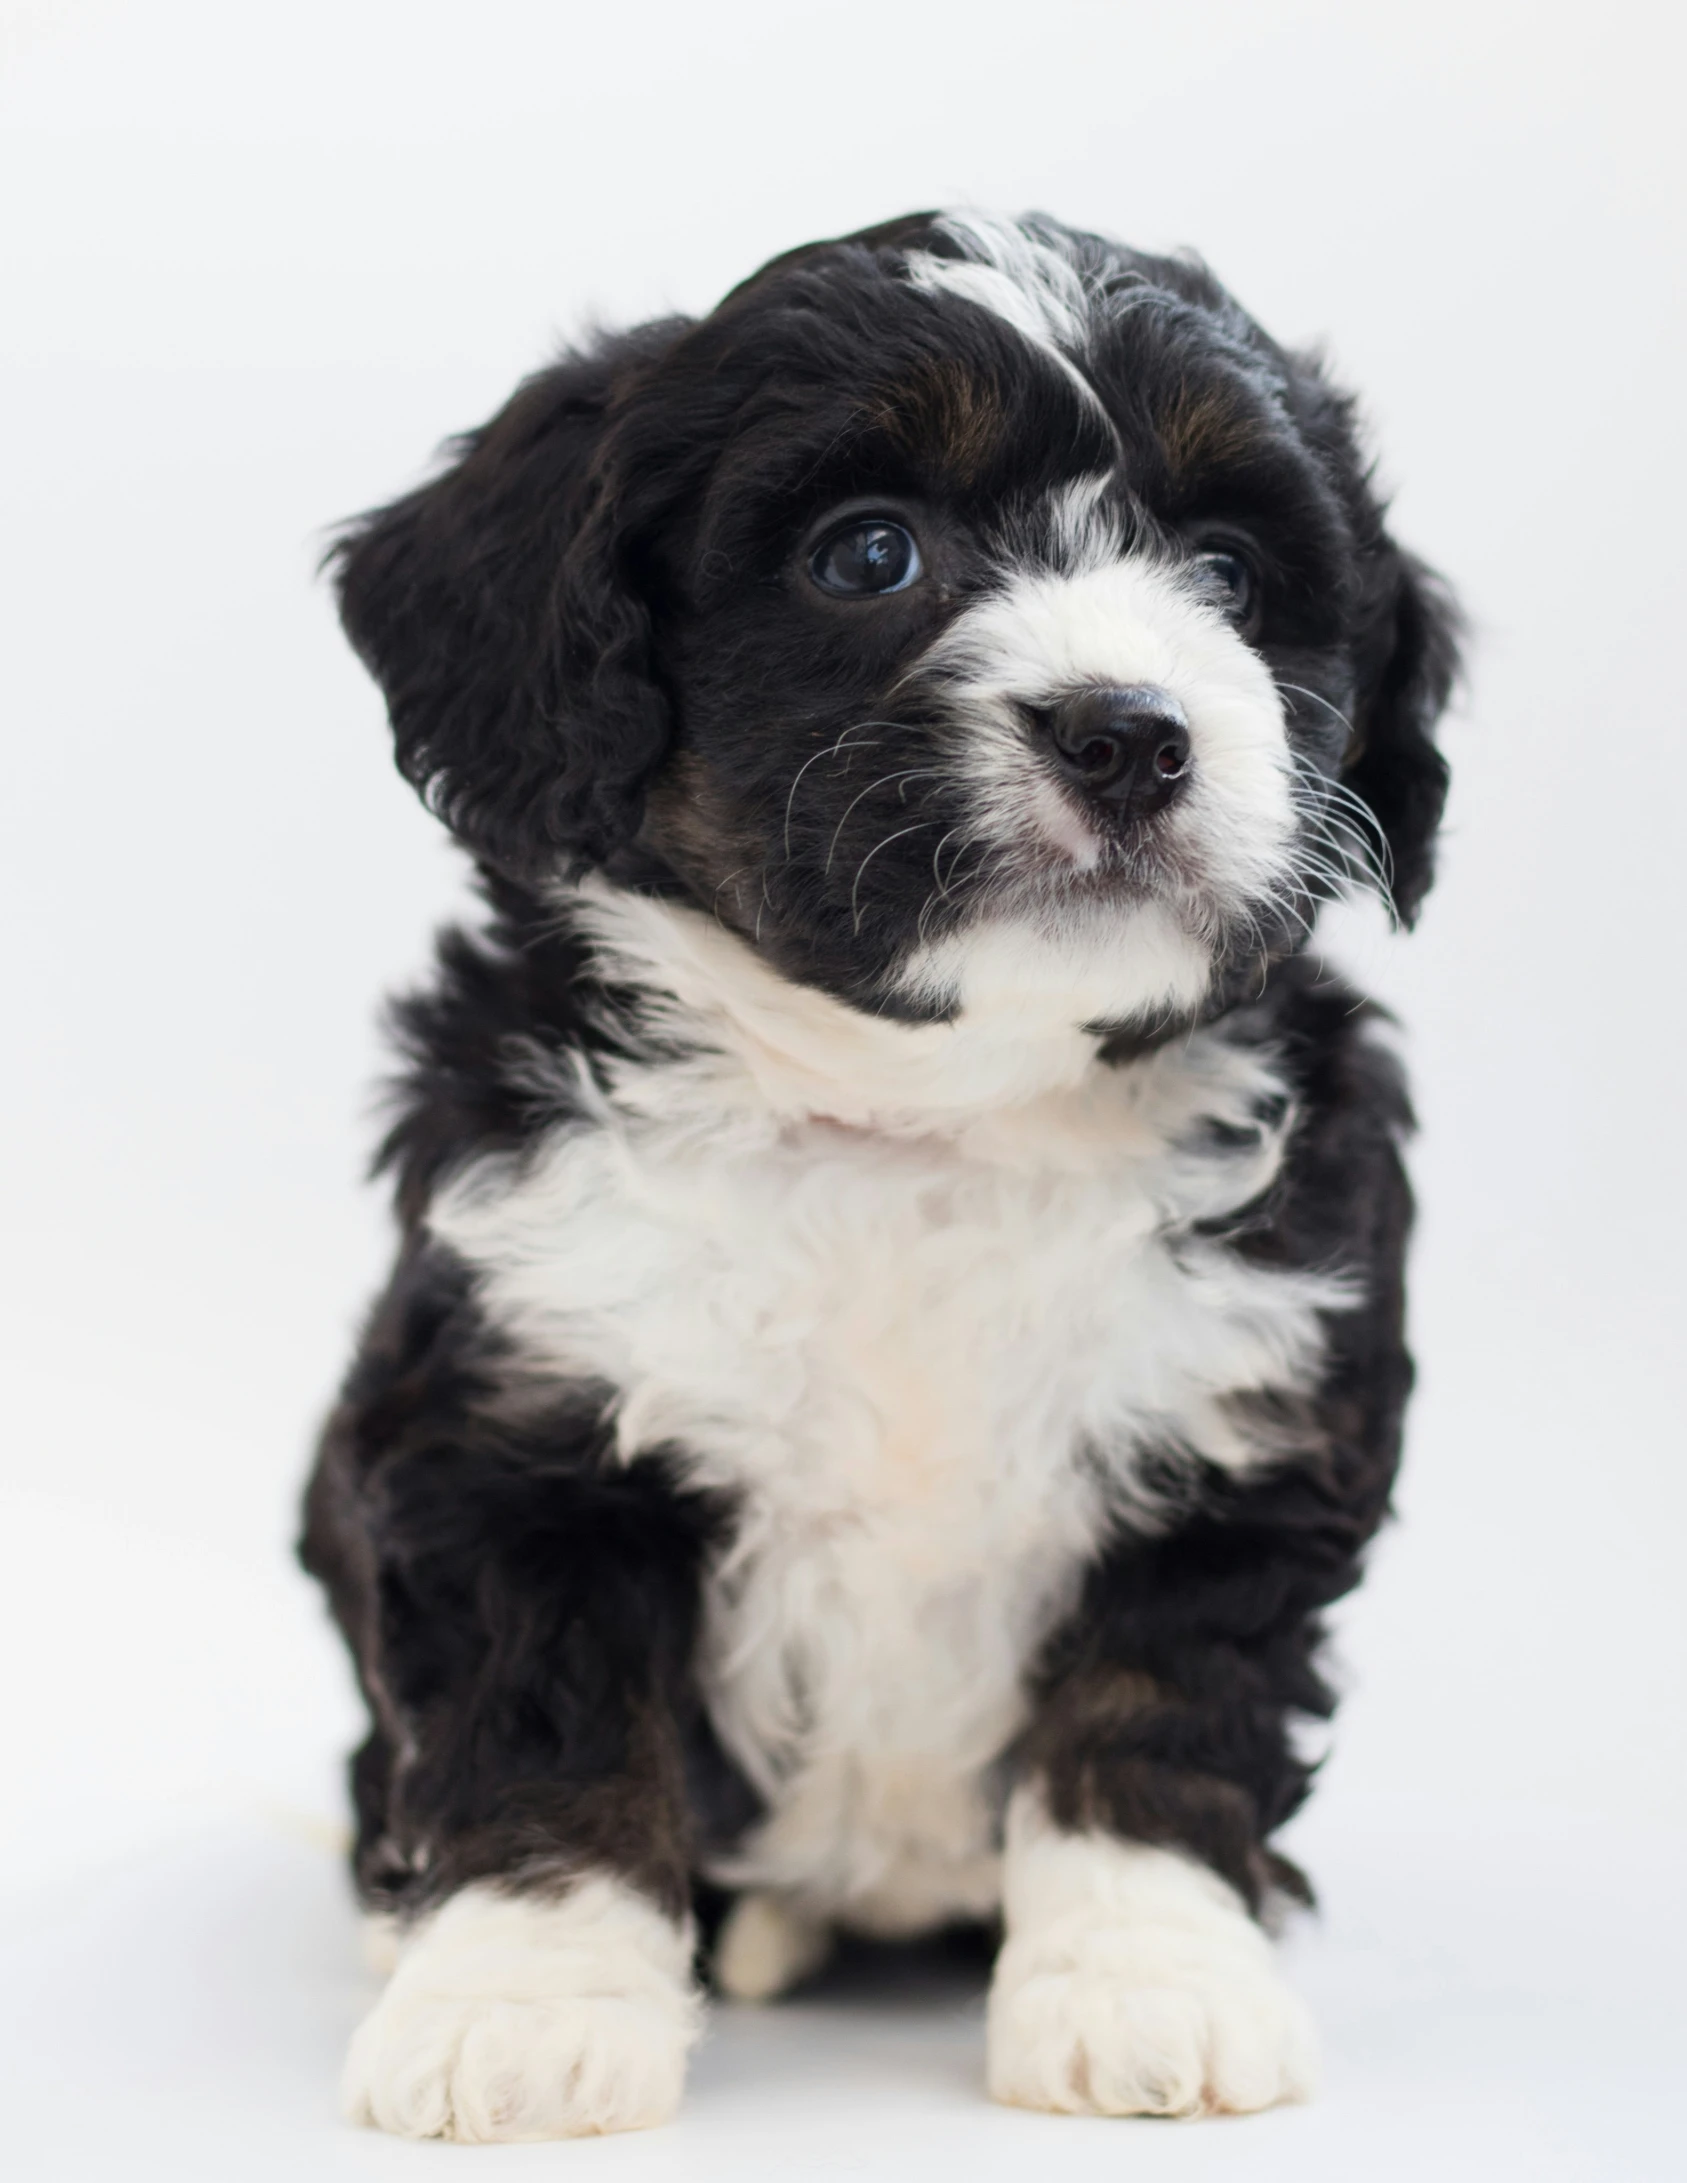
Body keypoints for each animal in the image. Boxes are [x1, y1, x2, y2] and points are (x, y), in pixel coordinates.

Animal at [303, 212, 1457, 2139]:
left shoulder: (1237, 1436)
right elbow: (547, 1720)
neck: (933, 1112)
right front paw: (521, 2001)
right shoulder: (520, 1415)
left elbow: (1155, 1715)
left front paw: (1144, 1986)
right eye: (867, 552)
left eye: (1226, 571)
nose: (1131, 730)